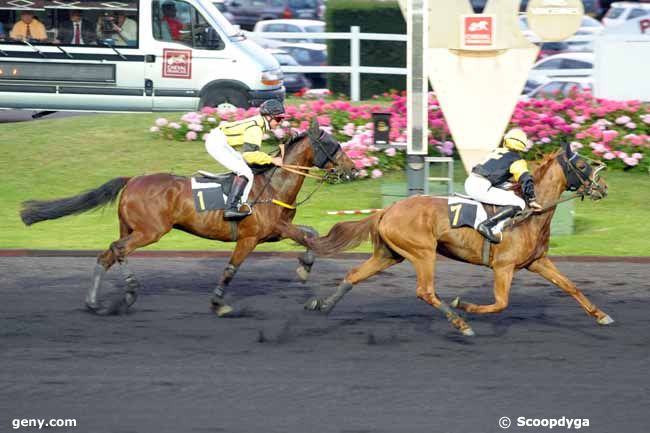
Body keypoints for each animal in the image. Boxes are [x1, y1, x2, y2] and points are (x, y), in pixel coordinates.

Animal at [20, 120, 352, 314]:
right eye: (332, 145)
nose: (351, 169)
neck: (273, 184)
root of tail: (132, 179)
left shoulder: (277, 229)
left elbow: (310, 234)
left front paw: (304, 268)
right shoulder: (250, 238)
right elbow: (232, 268)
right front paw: (218, 303)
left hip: (130, 228)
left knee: (106, 256)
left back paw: (92, 302)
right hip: (149, 231)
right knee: (118, 250)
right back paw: (129, 292)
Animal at [302, 142, 608, 334]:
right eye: (582, 165)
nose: (603, 187)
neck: (531, 214)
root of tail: (387, 209)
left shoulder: (537, 261)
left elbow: (570, 286)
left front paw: (602, 315)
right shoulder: (504, 267)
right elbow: (501, 303)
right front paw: (465, 305)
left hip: (390, 254)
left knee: (354, 274)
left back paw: (324, 305)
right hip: (423, 253)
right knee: (426, 291)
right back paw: (460, 322)